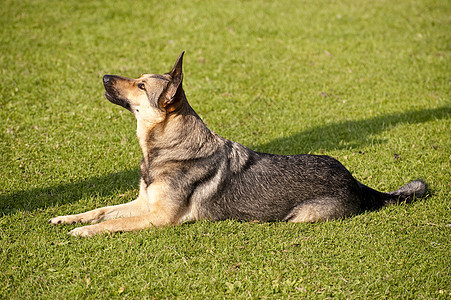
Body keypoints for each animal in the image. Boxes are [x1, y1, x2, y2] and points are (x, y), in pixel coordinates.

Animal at [49, 52, 428, 237]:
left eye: (141, 85)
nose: (104, 77)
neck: (169, 150)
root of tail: (356, 181)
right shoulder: (144, 203)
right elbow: (101, 210)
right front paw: (70, 218)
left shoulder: (160, 217)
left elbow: (112, 223)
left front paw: (85, 231)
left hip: (300, 217)